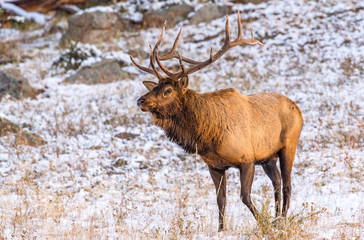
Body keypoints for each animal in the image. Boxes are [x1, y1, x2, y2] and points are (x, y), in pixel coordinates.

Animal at [131, 11, 304, 231]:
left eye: (167, 90)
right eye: (155, 87)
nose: (140, 100)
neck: (208, 135)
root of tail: (298, 109)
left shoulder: (247, 159)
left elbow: (244, 196)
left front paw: (262, 222)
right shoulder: (214, 166)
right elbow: (220, 200)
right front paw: (221, 229)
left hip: (288, 145)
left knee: (287, 185)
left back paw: (280, 220)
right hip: (268, 157)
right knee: (277, 183)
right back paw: (277, 218)